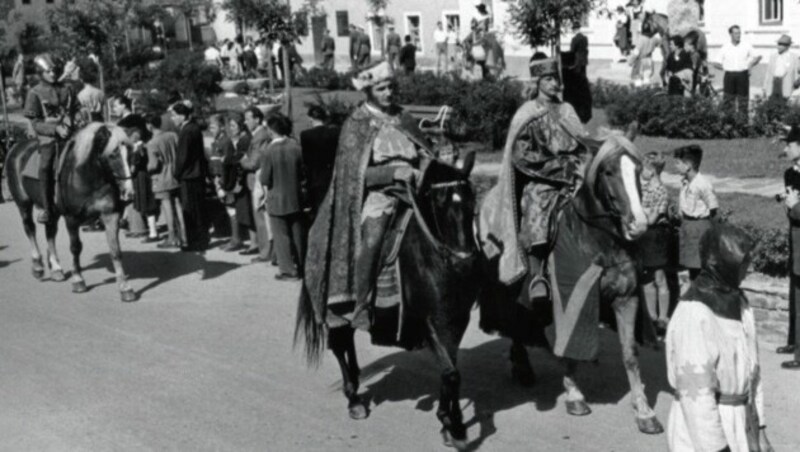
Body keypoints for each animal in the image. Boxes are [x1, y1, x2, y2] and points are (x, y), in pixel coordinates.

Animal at [4, 122, 138, 302]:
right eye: (112, 155)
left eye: (131, 153)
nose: (129, 194)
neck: (87, 175)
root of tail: (16, 147)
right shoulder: (72, 218)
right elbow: (75, 247)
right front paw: (78, 280)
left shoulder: (111, 215)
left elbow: (115, 250)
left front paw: (125, 287)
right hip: (23, 203)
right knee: (30, 228)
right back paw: (38, 266)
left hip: (52, 211)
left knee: (50, 233)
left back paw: (56, 269)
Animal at [296, 156, 478, 448]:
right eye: (439, 204)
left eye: (472, 199)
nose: (466, 263)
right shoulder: (428, 321)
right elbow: (451, 373)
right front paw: (450, 422)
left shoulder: (455, 321)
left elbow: (452, 373)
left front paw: (455, 424)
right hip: (335, 312)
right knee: (339, 344)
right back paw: (354, 398)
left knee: (347, 343)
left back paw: (357, 378)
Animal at [482, 133, 664, 434]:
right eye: (608, 171)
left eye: (638, 170)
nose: (637, 225)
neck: (598, 239)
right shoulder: (572, 296)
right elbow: (571, 344)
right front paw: (574, 394)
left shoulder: (626, 298)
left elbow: (630, 354)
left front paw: (644, 411)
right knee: (515, 323)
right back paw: (522, 366)